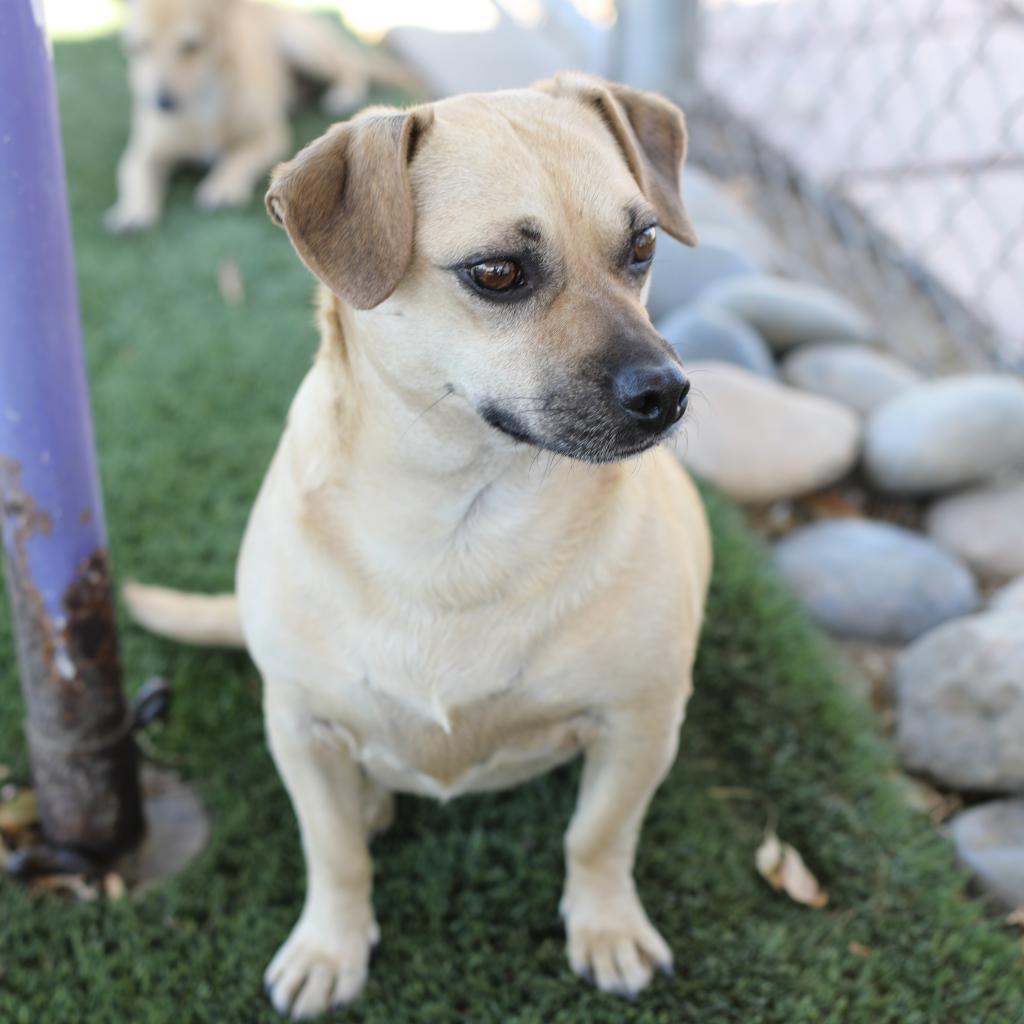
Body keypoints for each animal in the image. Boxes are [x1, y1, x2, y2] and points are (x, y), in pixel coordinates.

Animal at [105, 0, 417, 231]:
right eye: (137, 48)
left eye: (192, 46)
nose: (161, 102)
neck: (203, 109)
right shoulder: (144, 152)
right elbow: (131, 174)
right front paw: (132, 209)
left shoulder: (268, 137)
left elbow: (237, 158)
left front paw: (223, 185)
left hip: (304, 47)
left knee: (352, 68)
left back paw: (342, 95)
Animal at [125, 72, 712, 1015]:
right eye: (498, 273)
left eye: (644, 244)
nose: (668, 392)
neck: (459, 523)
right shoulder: (298, 726)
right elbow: (332, 852)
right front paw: (329, 945)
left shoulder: (640, 725)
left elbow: (597, 834)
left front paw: (606, 926)